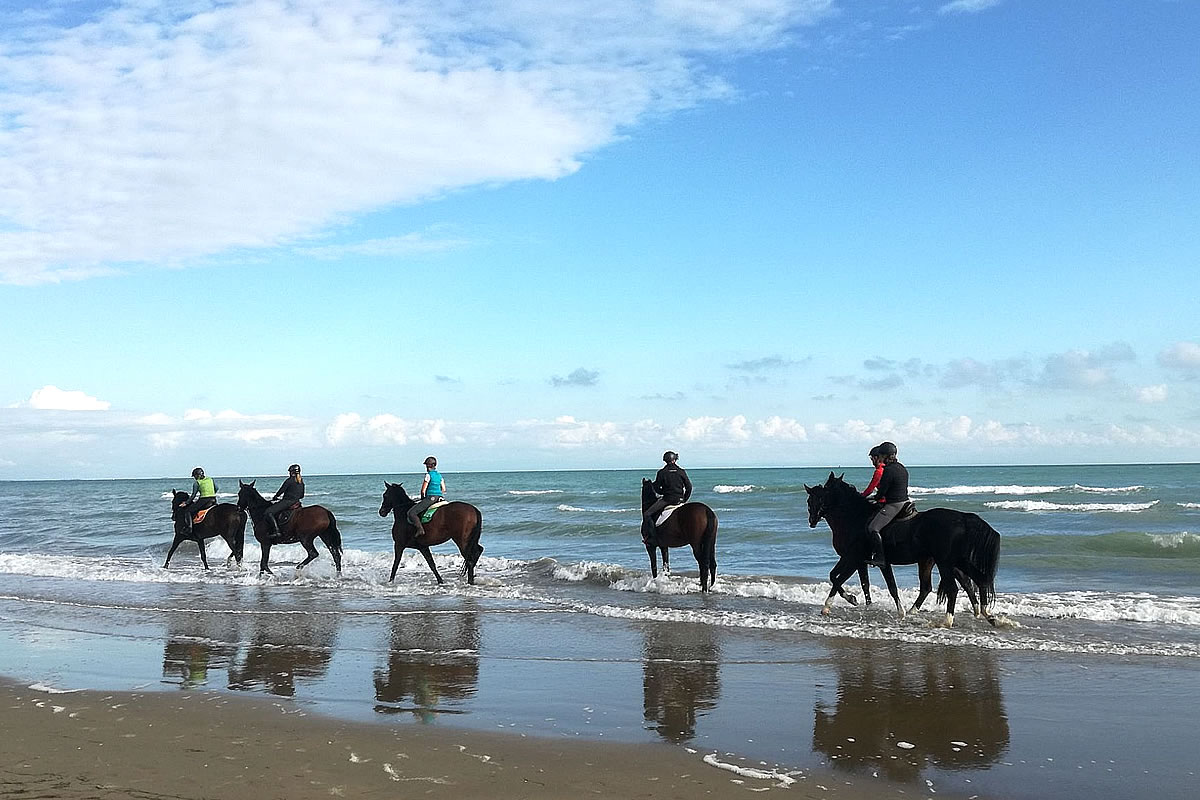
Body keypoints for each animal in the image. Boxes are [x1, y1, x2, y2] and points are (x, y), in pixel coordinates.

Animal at [806, 472, 1003, 628]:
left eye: (817, 498)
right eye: (810, 499)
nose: (812, 521)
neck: (854, 518)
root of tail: (963, 518)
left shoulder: (855, 559)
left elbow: (841, 580)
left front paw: (831, 605)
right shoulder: (858, 560)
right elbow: (854, 581)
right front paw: (863, 603)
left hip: (945, 562)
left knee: (953, 588)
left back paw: (947, 620)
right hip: (949, 561)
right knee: (972, 580)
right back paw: (986, 614)